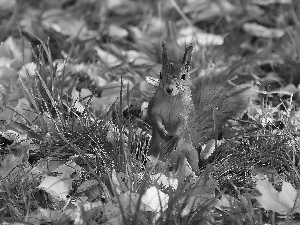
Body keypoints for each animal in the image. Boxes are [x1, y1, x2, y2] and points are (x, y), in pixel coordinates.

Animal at [146, 43, 252, 171]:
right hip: (152, 153)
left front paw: (176, 138)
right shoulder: (154, 106)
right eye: (161, 75)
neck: (172, 99)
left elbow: (184, 125)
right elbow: (154, 118)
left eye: (183, 76)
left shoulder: (187, 111)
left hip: (190, 154)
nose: (169, 89)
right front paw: (162, 131)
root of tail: (170, 163)